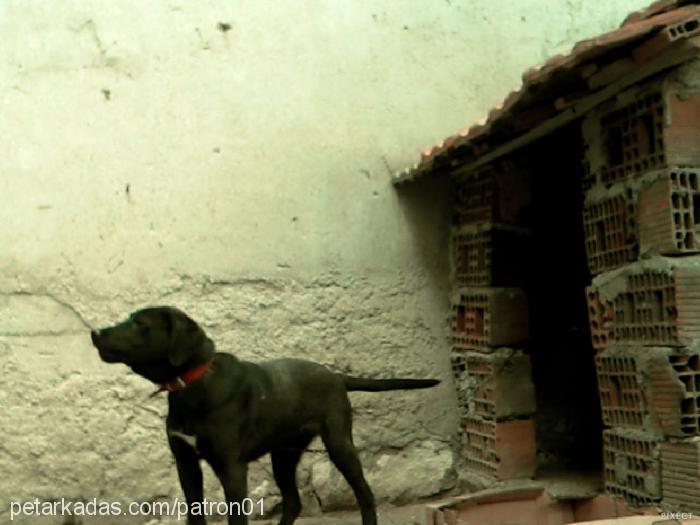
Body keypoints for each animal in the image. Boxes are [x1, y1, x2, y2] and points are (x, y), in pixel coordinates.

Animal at [87, 304, 438, 520]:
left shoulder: (231, 468)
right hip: (283, 454)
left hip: (339, 443)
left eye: (139, 324)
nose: (95, 333)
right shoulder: (186, 463)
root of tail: (336, 376)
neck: (192, 385)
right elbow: (195, 515)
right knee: (293, 502)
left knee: (364, 493)